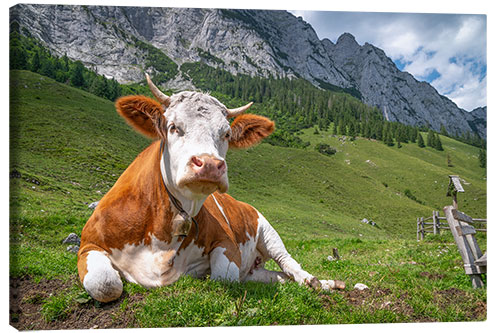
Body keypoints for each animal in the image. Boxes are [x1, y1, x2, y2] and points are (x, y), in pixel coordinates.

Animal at [77, 74, 344, 300]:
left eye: (226, 134)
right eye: (173, 126)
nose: (209, 164)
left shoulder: (227, 243)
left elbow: (223, 276)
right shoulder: (88, 244)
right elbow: (105, 284)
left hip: (267, 231)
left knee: (289, 264)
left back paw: (319, 282)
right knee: (276, 276)